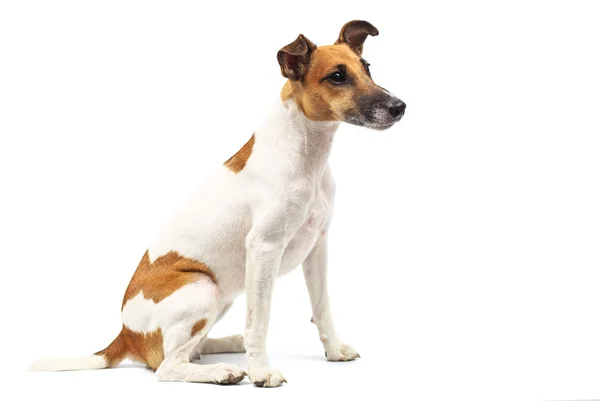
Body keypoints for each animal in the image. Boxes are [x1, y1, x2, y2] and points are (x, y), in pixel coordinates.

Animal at [30, 20, 408, 386]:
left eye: (367, 68)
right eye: (337, 76)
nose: (399, 107)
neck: (306, 155)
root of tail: (125, 336)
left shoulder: (317, 247)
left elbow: (322, 306)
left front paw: (334, 351)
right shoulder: (264, 249)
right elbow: (259, 320)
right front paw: (261, 371)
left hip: (221, 296)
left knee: (188, 351)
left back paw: (226, 345)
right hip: (202, 288)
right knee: (167, 366)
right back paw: (221, 371)